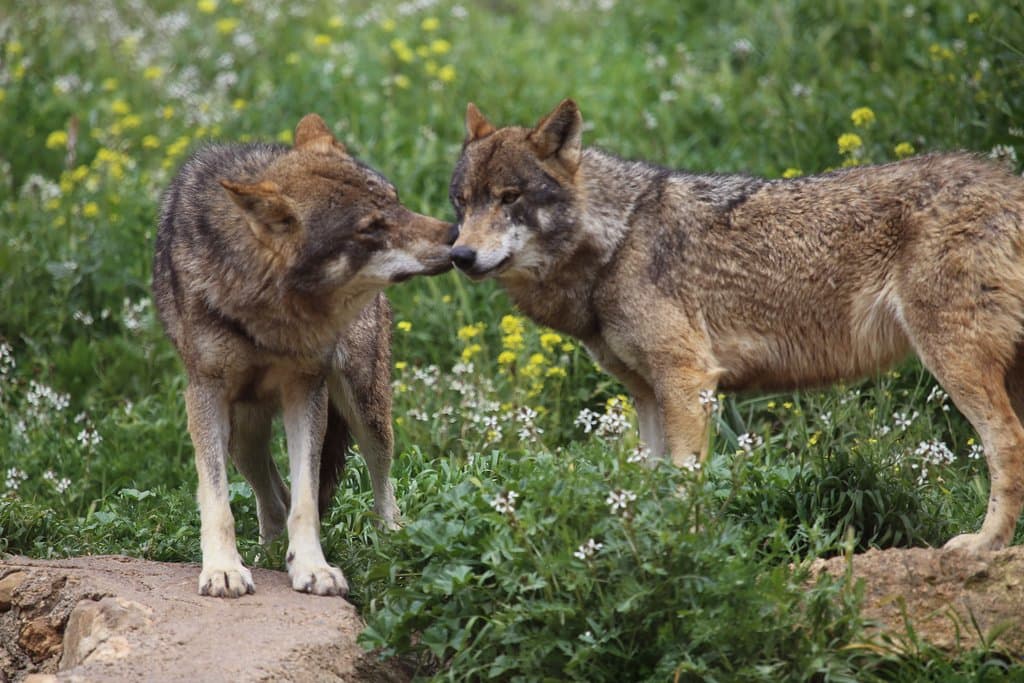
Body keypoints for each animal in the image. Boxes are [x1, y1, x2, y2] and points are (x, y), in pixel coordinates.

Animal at [153, 113, 454, 597]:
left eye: (397, 202)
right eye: (370, 227)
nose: (459, 236)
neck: (271, 311)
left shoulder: (305, 389)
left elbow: (308, 500)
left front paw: (313, 568)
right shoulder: (205, 395)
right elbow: (217, 500)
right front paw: (223, 569)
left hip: (364, 404)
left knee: (380, 481)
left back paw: (393, 543)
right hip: (242, 434)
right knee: (272, 497)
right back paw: (268, 554)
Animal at [448, 98, 1024, 554]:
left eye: (509, 198)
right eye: (463, 201)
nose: (459, 255)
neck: (617, 242)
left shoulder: (688, 379)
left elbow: (685, 482)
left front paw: (685, 548)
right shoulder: (648, 393)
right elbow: (650, 481)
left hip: (955, 363)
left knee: (1006, 442)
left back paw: (985, 544)